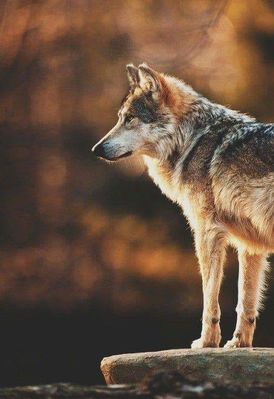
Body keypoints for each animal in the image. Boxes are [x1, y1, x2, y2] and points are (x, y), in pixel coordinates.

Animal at [92, 64, 274, 348]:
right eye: (120, 118)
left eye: (130, 119)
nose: (96, 149)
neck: (190, 140)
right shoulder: (250, 245)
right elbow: (245, 303)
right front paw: (238, 344)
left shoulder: (206, 232)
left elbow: (209, 299)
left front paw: (207, 342)